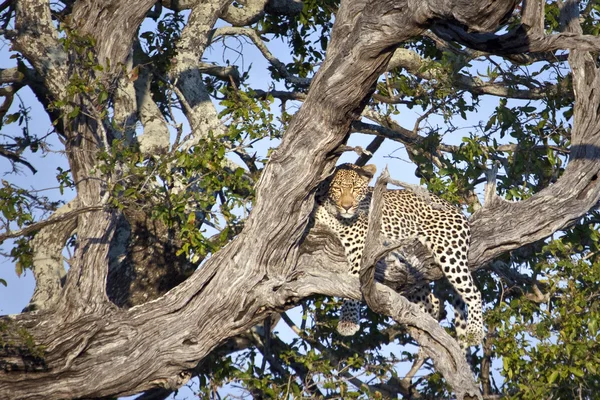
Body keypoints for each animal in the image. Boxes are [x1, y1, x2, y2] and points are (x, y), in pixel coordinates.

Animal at [314, 162, 482, 346]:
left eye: (356, 188)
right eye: (336, 188)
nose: (347, 206)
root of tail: (454, 207)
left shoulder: (360, 245)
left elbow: (352, 285)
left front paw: (347, 321)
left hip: (450, 253)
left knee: (473, 292)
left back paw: (475, 332)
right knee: (433, 301)